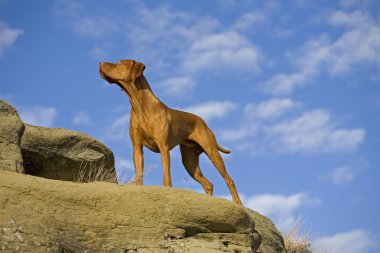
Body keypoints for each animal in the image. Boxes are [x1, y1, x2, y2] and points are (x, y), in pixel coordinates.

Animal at [99, 59, 242, 206]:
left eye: (121, 62)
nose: (100, 63)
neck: (140, 105)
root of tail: (203, 122)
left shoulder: (164, 147)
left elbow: (166, 175)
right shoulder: (137, 148)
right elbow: (139, 173)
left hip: (212, 153)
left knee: (229, 180)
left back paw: (238, 202)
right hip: (189, 162)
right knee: (208, 184)